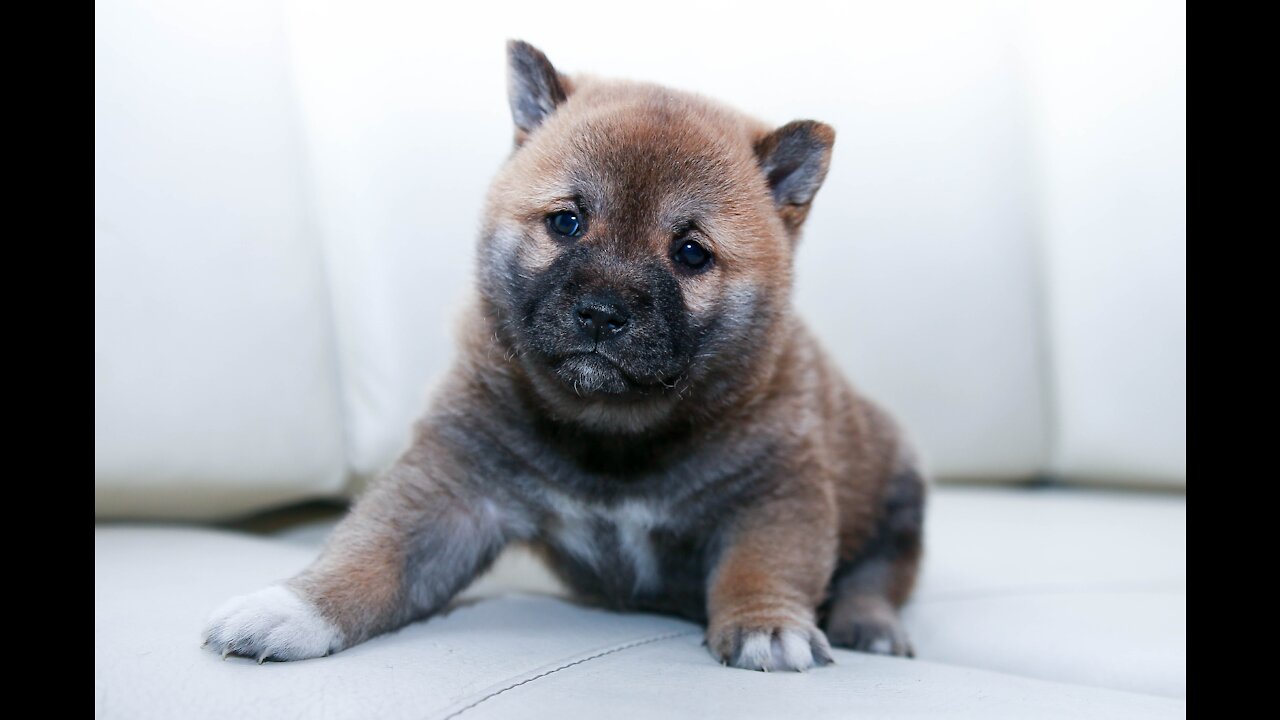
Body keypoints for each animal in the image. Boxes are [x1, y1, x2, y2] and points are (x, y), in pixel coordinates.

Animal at [204, 41, 926, 671]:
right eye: (566, 222)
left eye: (691, 252)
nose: (602, 313)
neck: (613, 438)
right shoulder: (454, 489)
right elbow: (372, 553)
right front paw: (292, 609)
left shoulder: (774, 495)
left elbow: (762, 566)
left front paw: (768, 626)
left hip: (897, 493)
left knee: (879, 574)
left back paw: (869, 625)